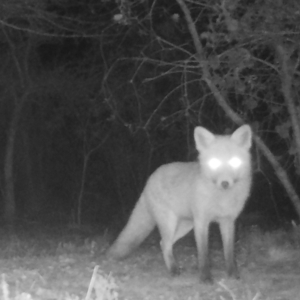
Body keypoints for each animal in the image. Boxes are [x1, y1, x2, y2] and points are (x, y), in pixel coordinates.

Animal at [106, 124, 252, 284]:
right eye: (214, 162)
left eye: (235, 162)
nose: (225, 183)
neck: (221, 199)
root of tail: (150, 179)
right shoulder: (202, 221)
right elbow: (203, 254)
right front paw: (205, 278)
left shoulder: (227, 221)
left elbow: (229, 253)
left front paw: (232, 275)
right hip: (171, 223)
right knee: (165, 244)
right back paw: (173, 270)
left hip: (185, 225)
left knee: (163, 243)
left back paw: (174, 268)